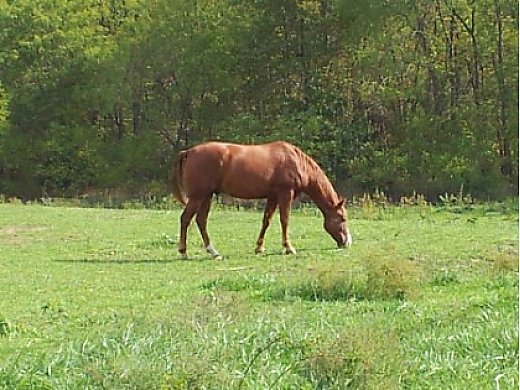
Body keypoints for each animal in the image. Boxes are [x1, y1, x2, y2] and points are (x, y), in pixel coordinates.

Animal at [171, 140, 354, 258]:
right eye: (342, 218)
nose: (347, 242)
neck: (296, 162)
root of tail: (189, 152)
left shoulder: (273, 196)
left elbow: (266, 221)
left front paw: (259, 248)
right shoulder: (285, 194)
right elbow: (284, 220)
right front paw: (289, 248)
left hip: (206, 196)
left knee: (201, 220)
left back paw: (213, 252)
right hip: (198, 196)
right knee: (185, 219)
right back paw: (183, 252)